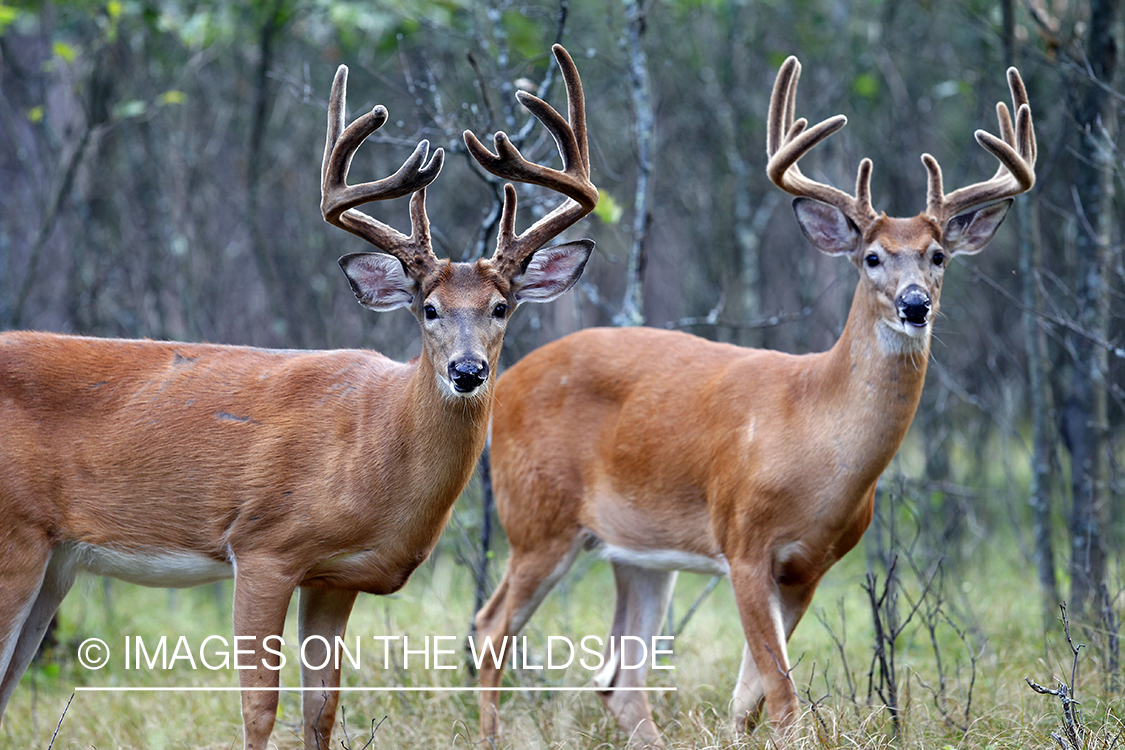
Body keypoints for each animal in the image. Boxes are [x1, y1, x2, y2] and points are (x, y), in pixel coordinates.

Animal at [0, 45, 598, 750]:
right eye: (428, 309)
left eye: (502, 308)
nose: (468, 371)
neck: (373, 446)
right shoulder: (262, 545)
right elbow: (260, 707)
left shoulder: (335, 578)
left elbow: (322, 711)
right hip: (14, 537)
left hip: (55, 560)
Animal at [470, 57, 1030, 746]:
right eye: (872, 256)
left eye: (939, 255)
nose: (915, 304)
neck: (816, 437)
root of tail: (507, 382)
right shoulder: (742, 540)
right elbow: (783, 698)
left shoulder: (809, 566)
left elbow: (748, 700)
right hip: (536, 519)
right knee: (491, 627)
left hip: (636, 550)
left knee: (617, 676)